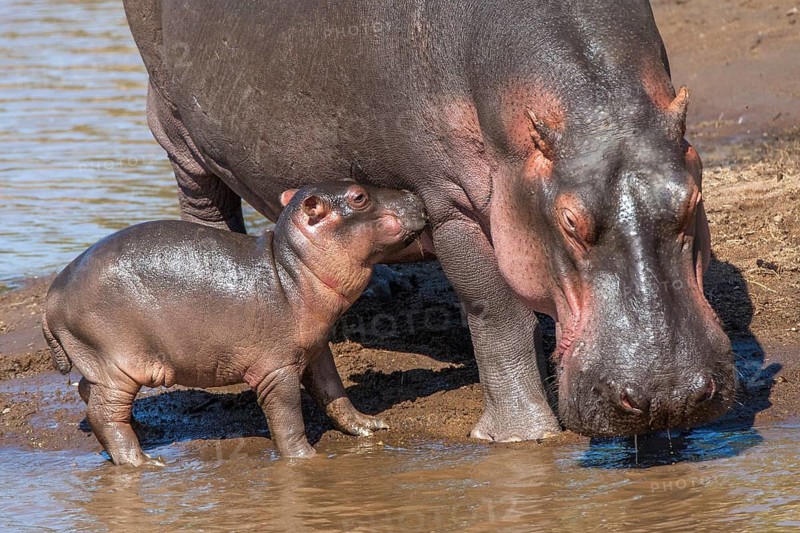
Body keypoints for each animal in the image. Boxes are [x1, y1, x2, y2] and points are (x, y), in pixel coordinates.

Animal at [42, 182, 427, 465]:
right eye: (359, 196)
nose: (415, 194)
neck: (293, 267)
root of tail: (52, 298)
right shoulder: (277, 368)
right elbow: (287, 417)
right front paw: (306, 459)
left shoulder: (316, 349)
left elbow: (334, 393)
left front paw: (369, 425)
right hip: (117, 364)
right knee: (103, 414)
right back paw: (143, 462)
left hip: (102, 364)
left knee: (88, 393)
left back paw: (145, 432)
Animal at [122, 0, 736, 440]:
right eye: (568, 222)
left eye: (691, 199)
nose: (668, 396)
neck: (596, 112)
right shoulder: (450, 203)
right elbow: (497, 311)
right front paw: (522, 436)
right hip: (174, 125)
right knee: (203, 203)